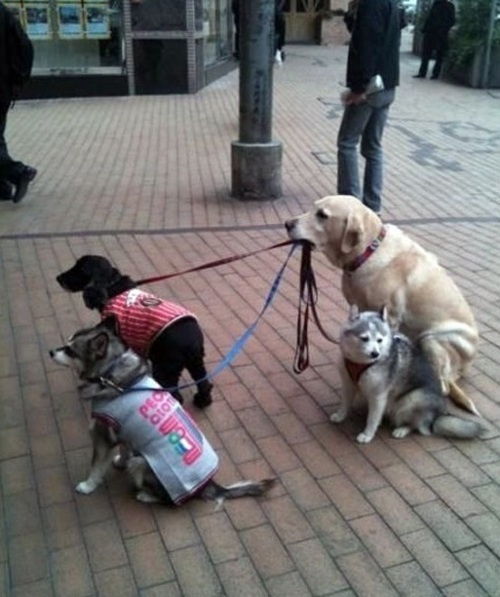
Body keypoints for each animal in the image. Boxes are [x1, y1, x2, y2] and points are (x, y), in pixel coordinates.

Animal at [56, 254, 213, 408]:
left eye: (81, 269)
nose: (58, 278)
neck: (111, 287)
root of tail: (192, 342)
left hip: (165, 367)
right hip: (195, 362)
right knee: (204, 384)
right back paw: (201, 401)